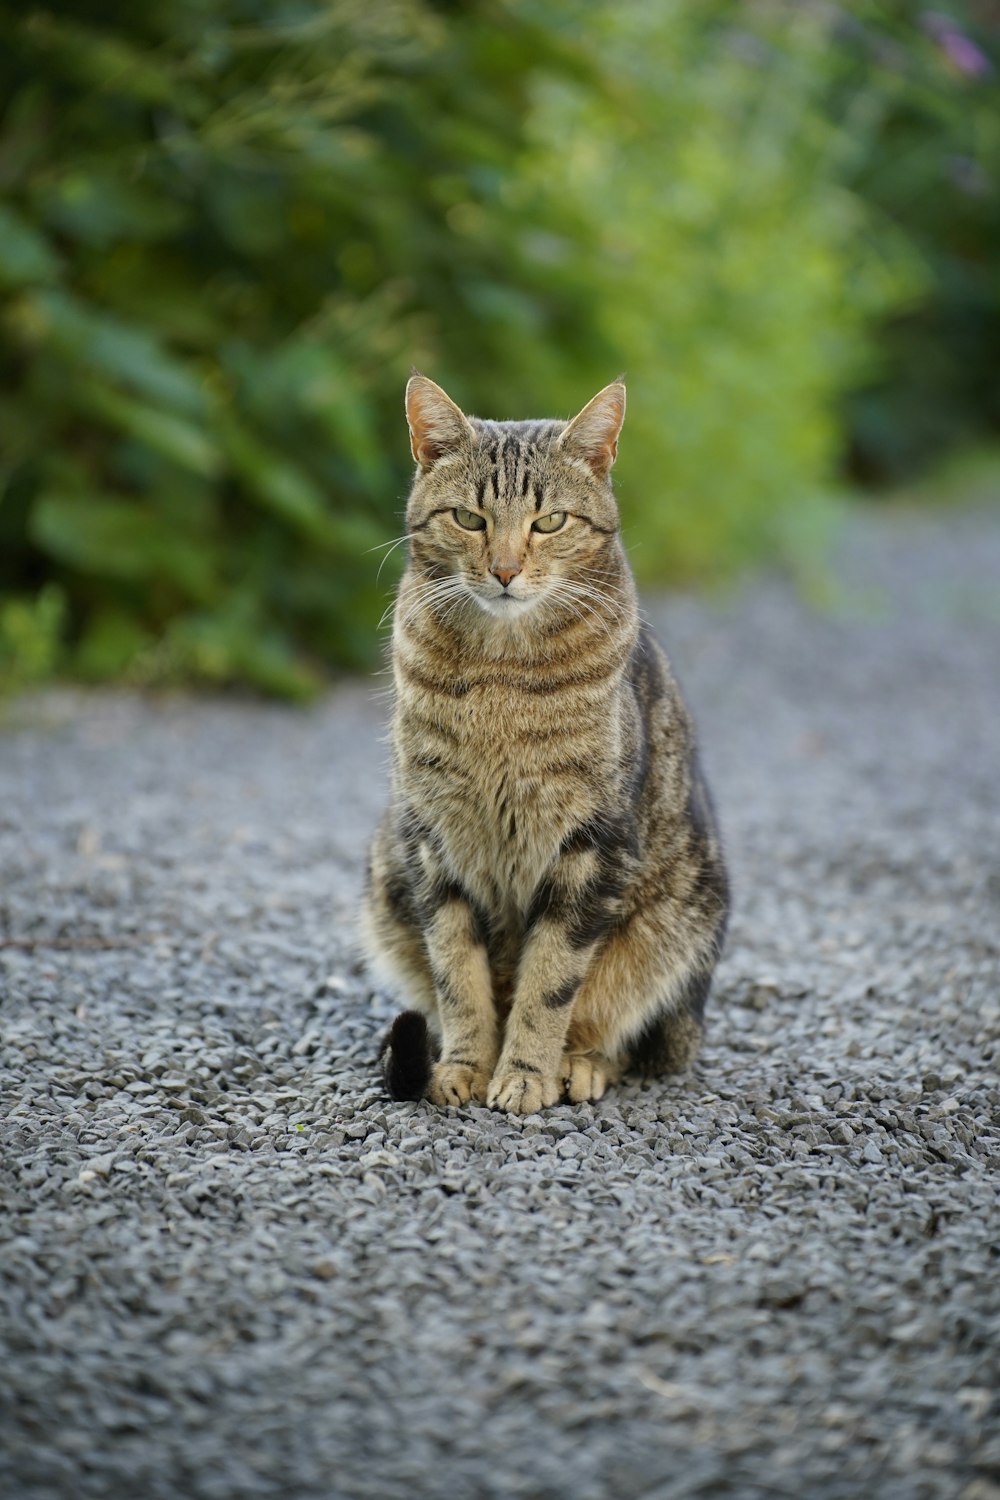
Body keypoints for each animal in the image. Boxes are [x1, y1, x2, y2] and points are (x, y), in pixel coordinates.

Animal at [359, 375, 728, 1116]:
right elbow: (459, 977)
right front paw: (466, 1068)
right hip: (386, 875)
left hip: (682, 925)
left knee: (620, 1031)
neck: (502, 674)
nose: (504, 570)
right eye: (469, 519)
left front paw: (525, 1073)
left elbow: (550, 982)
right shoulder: (431, 839)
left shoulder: (591, 844)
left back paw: (577, 1067)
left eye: (550, 522)